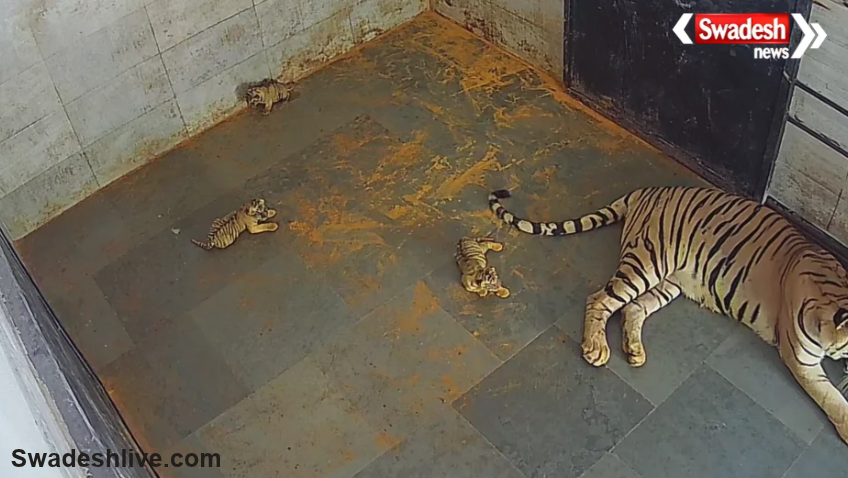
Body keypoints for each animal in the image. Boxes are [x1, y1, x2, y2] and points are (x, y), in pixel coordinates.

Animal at [488, 186, 848, 444]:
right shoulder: (801, 359)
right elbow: (833, 399)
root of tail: (647, 190)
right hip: (647, 262)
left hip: (669, 279)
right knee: (600, 299)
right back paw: (596, 349)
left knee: (632, 307)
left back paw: (634, 350)